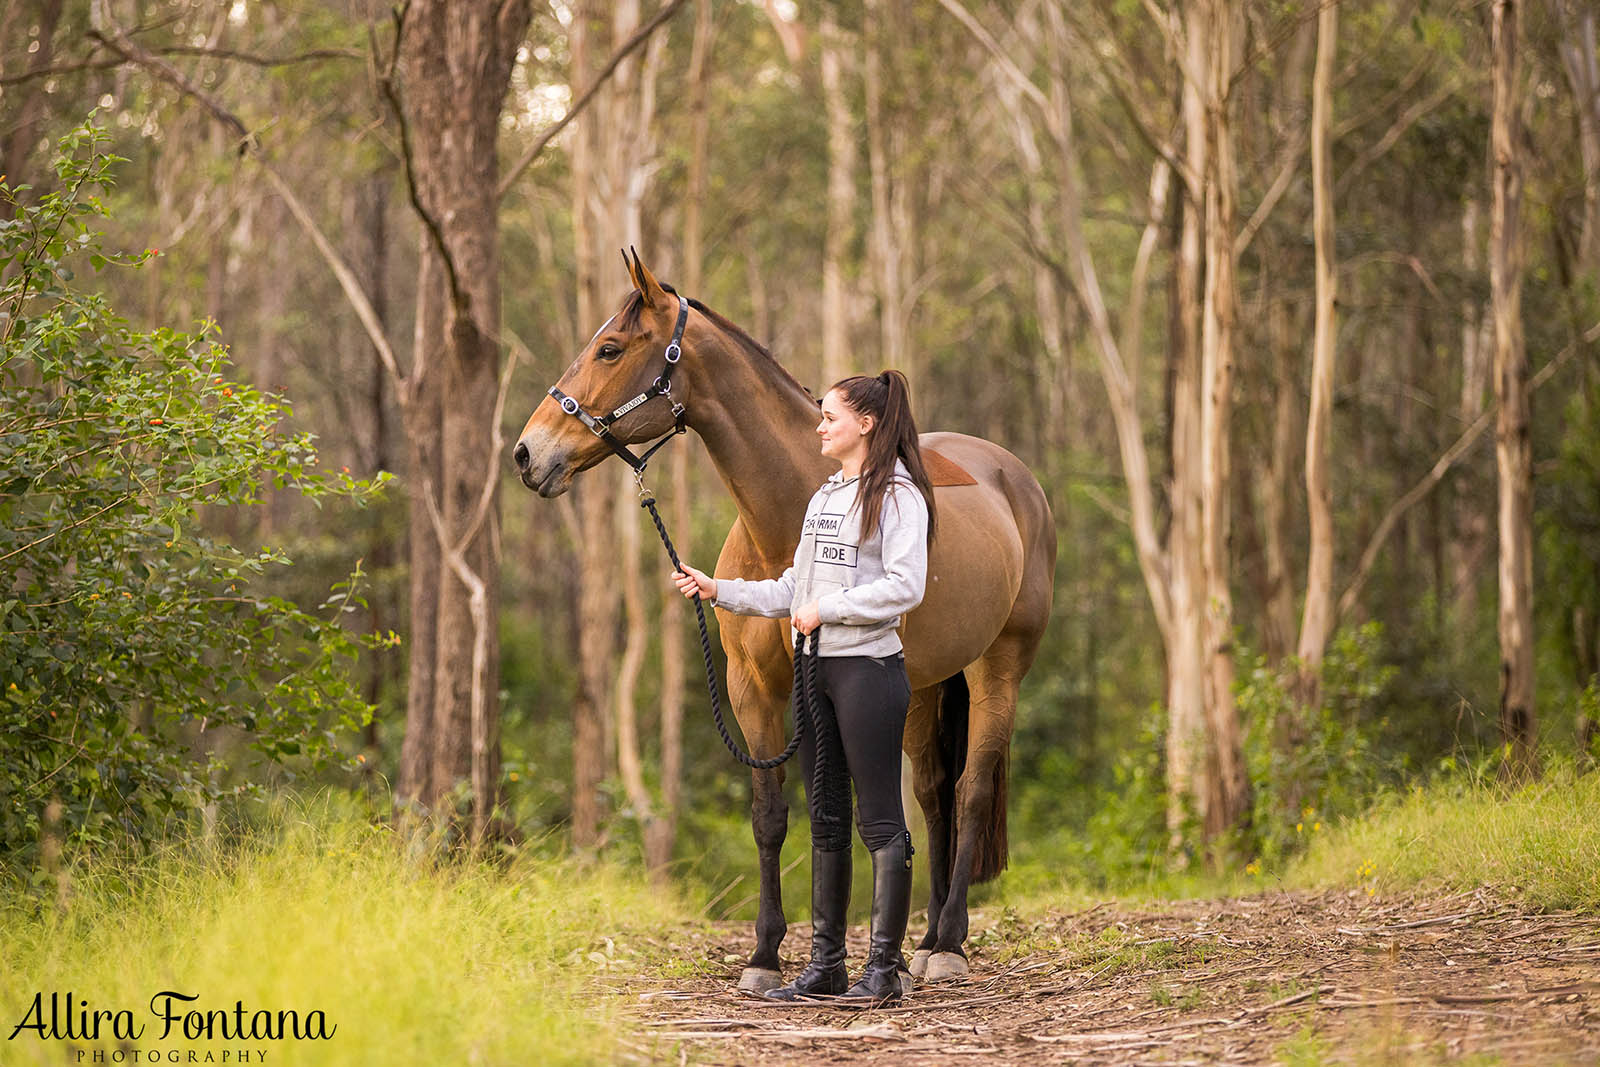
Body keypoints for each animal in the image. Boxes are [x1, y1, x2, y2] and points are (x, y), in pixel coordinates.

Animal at [518, 252, 1056, 991]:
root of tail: (1013, 477)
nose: (526, 453)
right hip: (922, 689)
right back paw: (919, 942)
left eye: (610, 348)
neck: (787, 520)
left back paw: (946, 943)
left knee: (971, 790)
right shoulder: (755, 689)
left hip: (996, 668)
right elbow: (773, 816)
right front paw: (766, 955)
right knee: (933, 792)